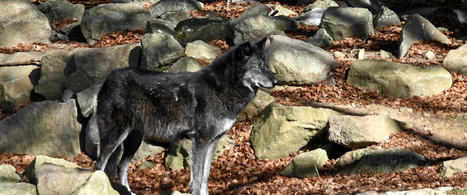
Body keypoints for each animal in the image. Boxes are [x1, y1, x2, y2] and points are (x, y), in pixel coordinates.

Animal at [94, 37, 278, 194]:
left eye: (267, 64)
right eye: (258, 66)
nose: (276, 82)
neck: (222, 88)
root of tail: (109, 78)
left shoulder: (214, 141)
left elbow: (205, 177)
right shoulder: (201, 141)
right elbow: (197, 178)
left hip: (134, 140)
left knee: (121, 167)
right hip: (115, 138)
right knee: (99, 165)